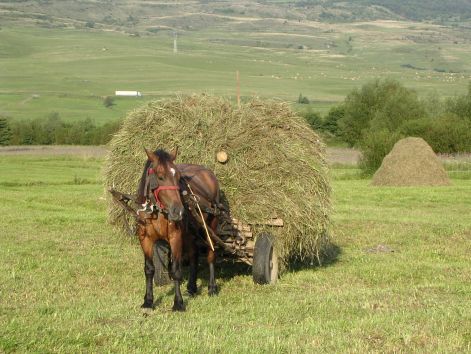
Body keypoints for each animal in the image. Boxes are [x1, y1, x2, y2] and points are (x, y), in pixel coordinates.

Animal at [136, 148, 218, 312]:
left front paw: (178, 303)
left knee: (210, 254)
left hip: (211, 225)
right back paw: (192, 287)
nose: (178, 211)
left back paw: (212, 287)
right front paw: (148, 301)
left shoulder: (175, 237)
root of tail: (208, 173)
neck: (156, 210)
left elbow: (175, 270)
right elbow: (149, 269)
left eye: (178, 177)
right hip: (189, 232)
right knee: (193, 254)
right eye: (160, 177)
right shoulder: (145, 238)